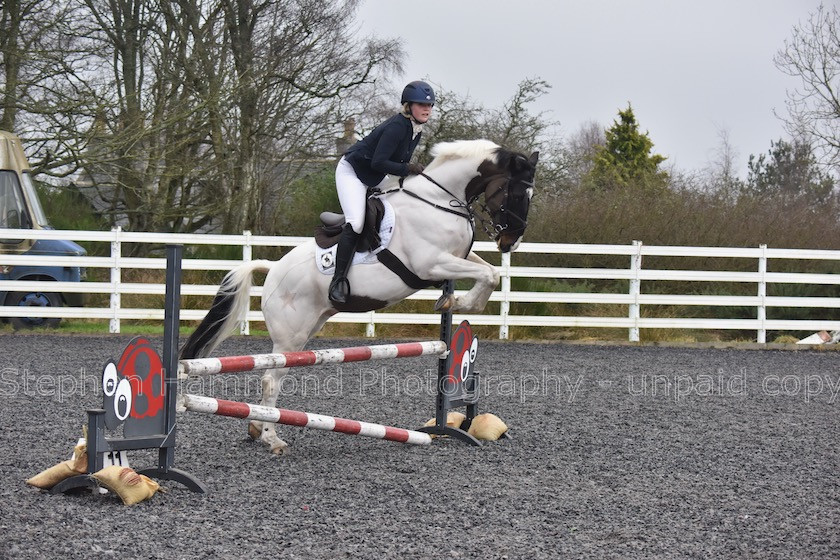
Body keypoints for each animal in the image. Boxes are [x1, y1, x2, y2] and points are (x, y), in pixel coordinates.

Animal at [180, 140, 540, 456]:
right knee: (271, 378)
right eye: (517, 192)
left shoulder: (454, 258)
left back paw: (257, 427)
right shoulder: (431, 263)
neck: (438, 200)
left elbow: (489, 272)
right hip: (291, 335)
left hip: (308, 328)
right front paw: (461, 303)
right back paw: (272, 438)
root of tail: (272, 269)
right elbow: (489, 275)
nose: (510, 242)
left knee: (272, 376)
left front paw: (455, 302)